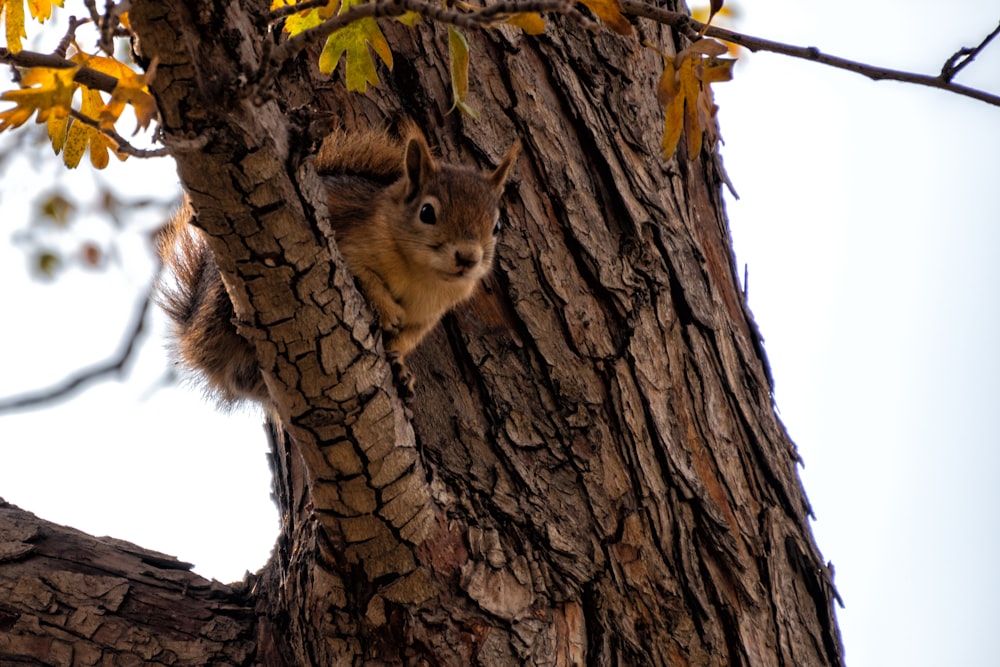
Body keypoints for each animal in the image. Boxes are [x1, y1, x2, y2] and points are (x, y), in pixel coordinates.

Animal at [159, 123, 520, 408]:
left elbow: (407, 338)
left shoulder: (430, 313)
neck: (420, 274)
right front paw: (387, 310)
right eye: (427, 212)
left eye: (497, 225)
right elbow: (365, 277)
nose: (468, 258)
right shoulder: (349, 244)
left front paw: (399, 364)